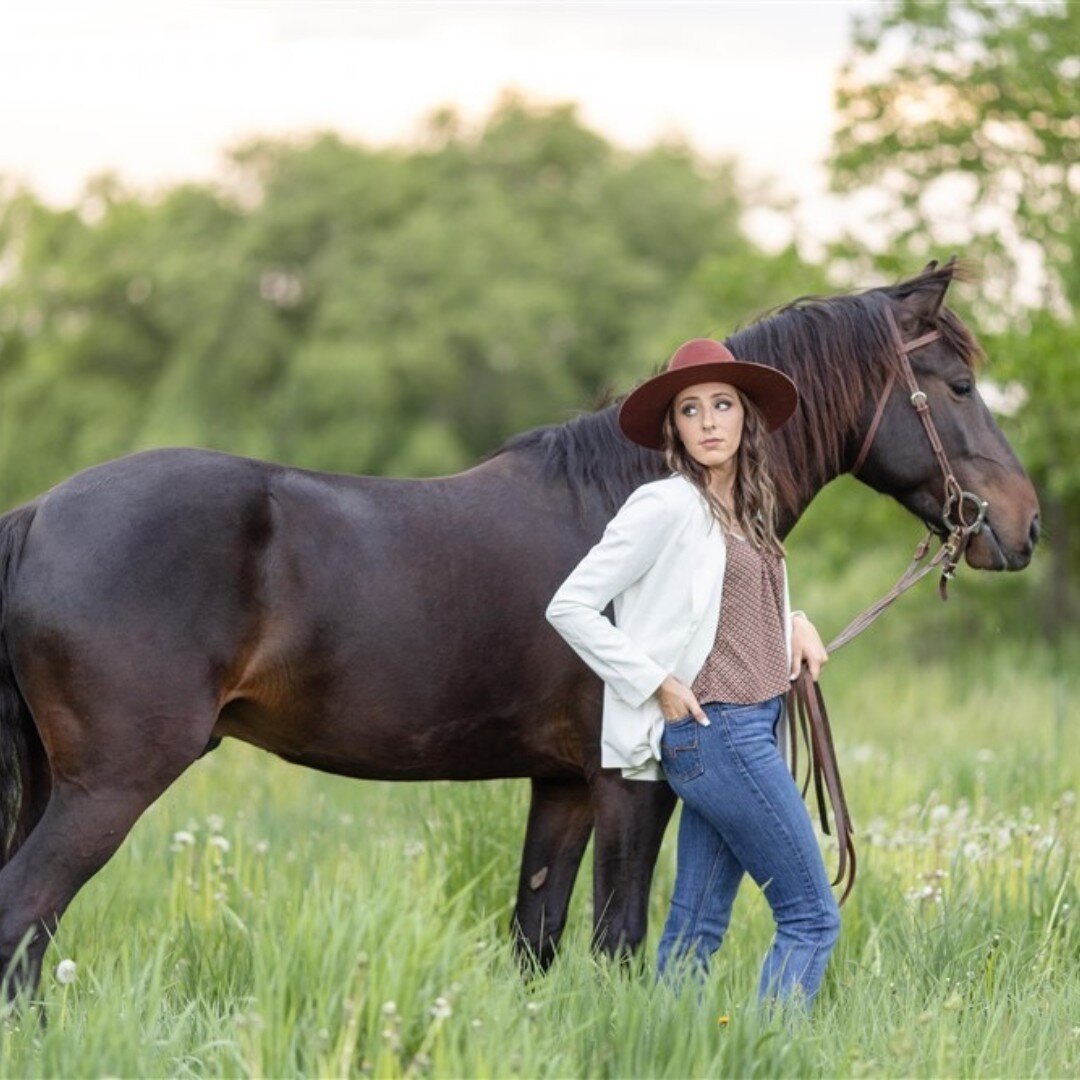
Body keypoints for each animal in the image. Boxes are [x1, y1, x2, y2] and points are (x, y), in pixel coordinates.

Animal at [0, 261, 1036, 993]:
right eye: (955, 385)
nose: (1022, 527)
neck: (633, 494)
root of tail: (41, 512)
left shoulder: (563, 787)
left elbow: (536, 939)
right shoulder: (629, 783)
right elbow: (619, 940)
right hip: (110, 785)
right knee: (25, 916)